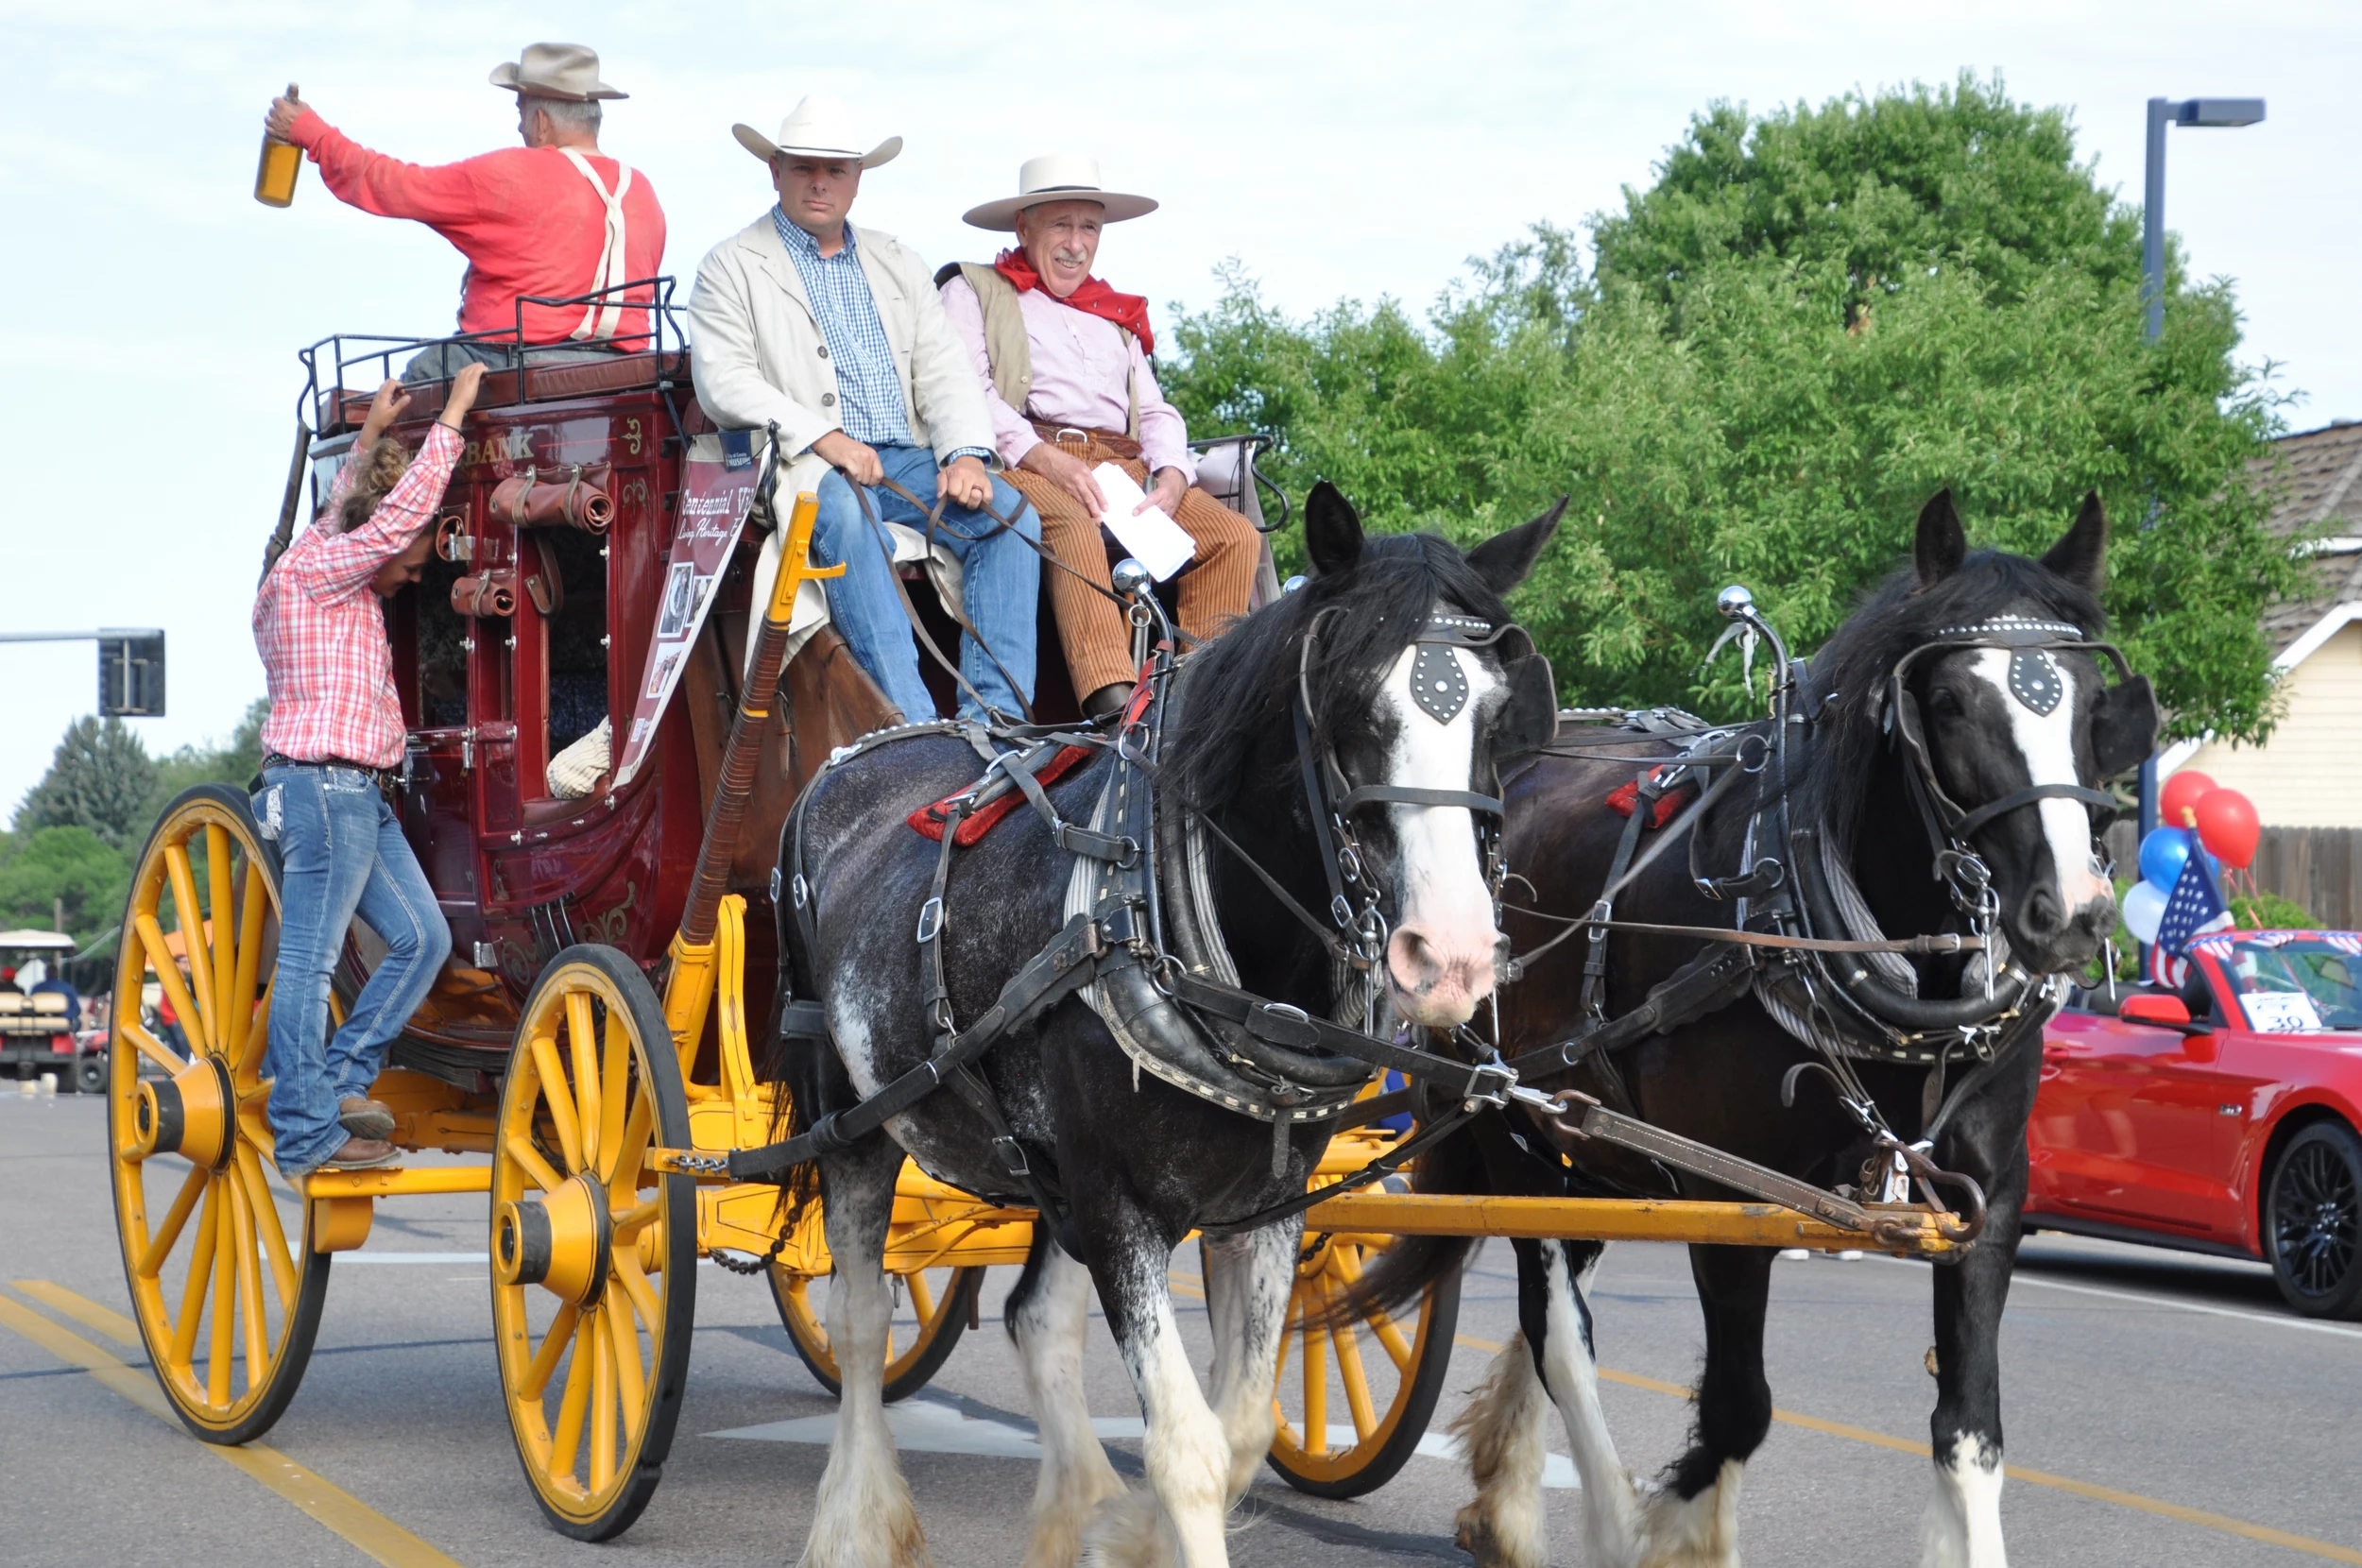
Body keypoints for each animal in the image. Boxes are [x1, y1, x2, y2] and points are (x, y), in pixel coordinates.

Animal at [765, 484, 1559, 1559]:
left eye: (1493, 717)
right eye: (1351, 707)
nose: (1455, 958)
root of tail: (854, 758)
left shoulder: (1265, 1203)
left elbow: (1245, 1426)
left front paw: (1125, 1534)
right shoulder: (1120, 1205)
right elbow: (1187, 1447)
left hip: (1044, 1167)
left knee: (1035, 1321)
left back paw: (1073, 1511)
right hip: (850, 1116)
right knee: (853, 1319)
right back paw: (855, 1520)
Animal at [1370, 493, 2164, 1568]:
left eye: (2088, 704)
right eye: (1950, 701)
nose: (2073, 913)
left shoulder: (1987, 1200)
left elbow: (1969, 1429)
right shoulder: (1729, 1196)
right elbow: (1738, 1408)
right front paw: (1667, 1528)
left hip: (1594, 1148)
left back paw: (1503, 1502)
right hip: (1509, 1125)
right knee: (1558, 1329)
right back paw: (1596, 1514)